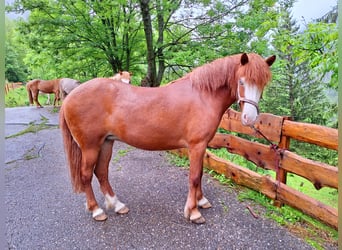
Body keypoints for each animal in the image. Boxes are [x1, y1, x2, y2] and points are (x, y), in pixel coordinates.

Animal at [60, 52, 276, 223]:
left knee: (101, 172)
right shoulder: (196, 145)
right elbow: (194, 177)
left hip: (106, 142)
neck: (203, 95)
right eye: (241, 81)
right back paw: (96, 210)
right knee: (86, 175)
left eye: (263, 84)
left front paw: (201, 201)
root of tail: (70, 96)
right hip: (90, 146)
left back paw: (117, 205)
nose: (250, 118)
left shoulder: (201, 146)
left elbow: (200, 174)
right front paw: (193, 212)